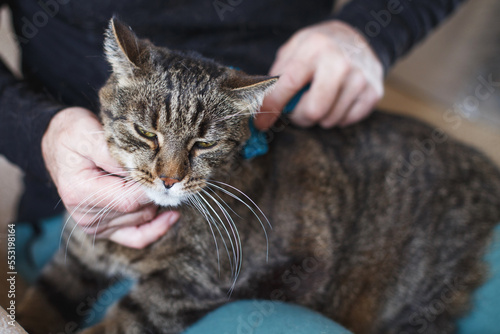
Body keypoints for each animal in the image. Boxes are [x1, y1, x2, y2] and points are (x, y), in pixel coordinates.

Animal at [16, 18, 500, 334]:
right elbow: (36, 305)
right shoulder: (75, 258)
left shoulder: (186, 286)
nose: (169, 179)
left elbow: (122, 323)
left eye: (203, 144)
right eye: (147, 133)